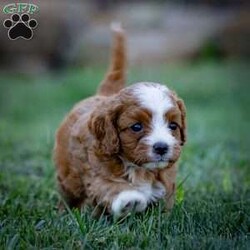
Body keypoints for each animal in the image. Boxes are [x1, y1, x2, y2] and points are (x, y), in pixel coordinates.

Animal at [53, 23, 187, 217]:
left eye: (173, 125)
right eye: (136, 127)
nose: (162, 147)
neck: (140, 168)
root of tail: (103, 94)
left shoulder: (167, 181)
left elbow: (165, 204)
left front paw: (164, 217)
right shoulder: (98, 174)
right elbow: (112, 187)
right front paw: (130, 199)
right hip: (68, 173)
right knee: (68, 192)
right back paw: (65, 211)